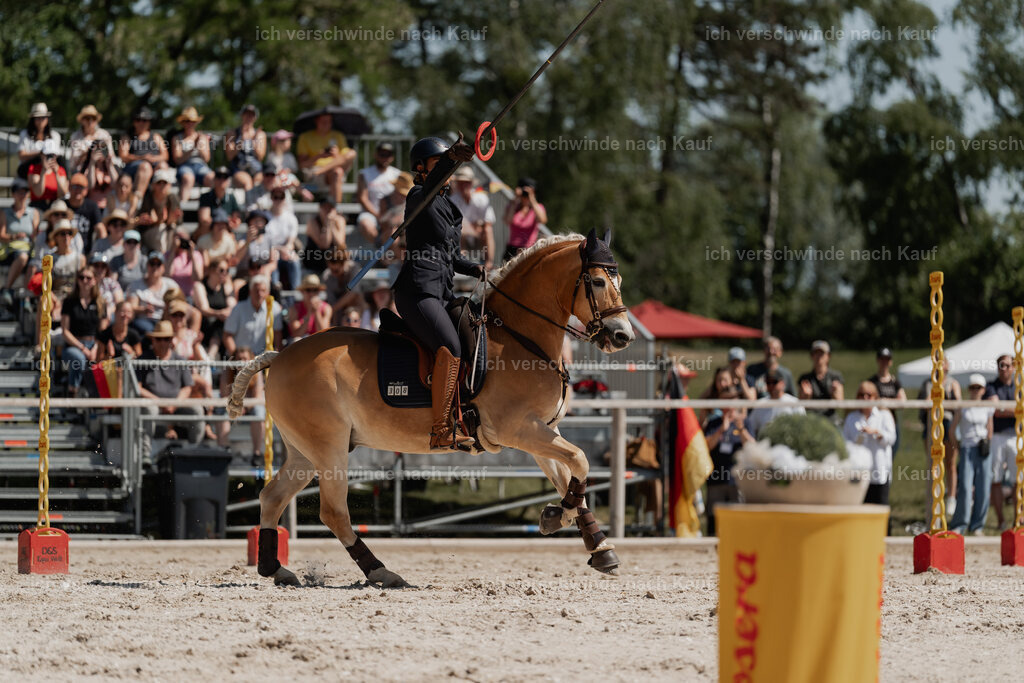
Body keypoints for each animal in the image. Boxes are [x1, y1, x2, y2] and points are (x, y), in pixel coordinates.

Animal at [227, 229, 636, 587]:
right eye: (597, 282)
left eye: (618, 280)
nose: (622, 336)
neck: (518, 337)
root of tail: (280, 356)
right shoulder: (518, 428)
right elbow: (581, 459)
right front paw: (563, 520)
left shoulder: (542, 430)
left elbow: (571, 475)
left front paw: (592, 542)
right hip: (328, 448)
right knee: (334, 512)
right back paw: (381, 572)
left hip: (305, 453)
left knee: (272, 497)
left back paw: (275, 568)